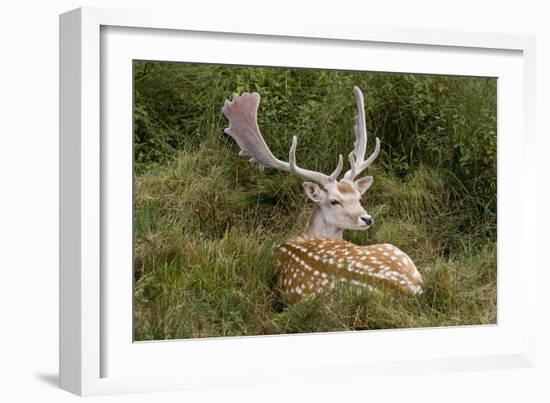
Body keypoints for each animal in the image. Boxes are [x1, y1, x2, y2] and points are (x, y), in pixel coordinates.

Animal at [222, 87, 424, 304]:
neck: (302, 236)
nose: (367, 218)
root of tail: (407, 287)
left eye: (358, 197)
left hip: (393, 250)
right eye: (334, 201)